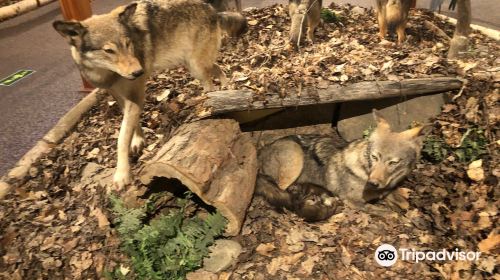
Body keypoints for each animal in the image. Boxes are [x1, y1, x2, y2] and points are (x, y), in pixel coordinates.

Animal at [53, 0, 248, 189]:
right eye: (109, 50)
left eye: (128, 44)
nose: (138, 71)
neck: (106, 74)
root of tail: (213, 11)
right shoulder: (118, 94)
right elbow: (131, 123)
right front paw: (138, 141)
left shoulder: (135, 94)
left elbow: (121, 138)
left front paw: (122, 174)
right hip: (192, 64)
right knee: (218, 69)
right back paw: (225, 89)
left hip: (196, 67)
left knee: (209, 82)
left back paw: (210, 103)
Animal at [256, 110, 428, 222]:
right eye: (374, 157)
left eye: (393, 162)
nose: (373, 183)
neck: (365, 170)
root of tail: (262, 149)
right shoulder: (353, 201)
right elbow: (388, 213)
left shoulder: (385, 191)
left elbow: (404, 203)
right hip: (295, 159)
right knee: (283, 192)